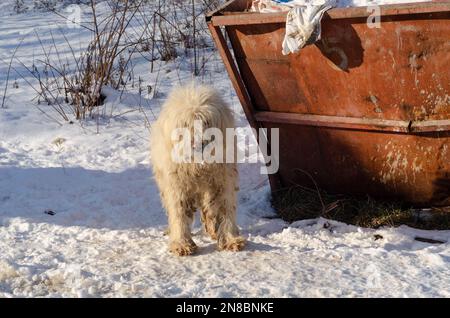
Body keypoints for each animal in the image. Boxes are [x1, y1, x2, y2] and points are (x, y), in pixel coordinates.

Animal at [149, 84, 244, 256]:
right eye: (187, 123)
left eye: (206, 121)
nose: (199, 143)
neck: (198, 165)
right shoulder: (177, 186)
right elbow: (179, 213)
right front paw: (181, 244)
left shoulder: (223, 181)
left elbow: (225, 209)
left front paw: (230, 239)